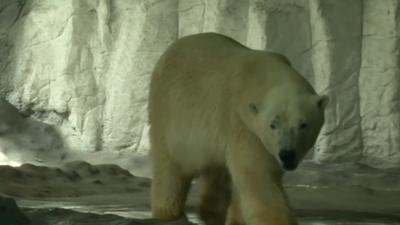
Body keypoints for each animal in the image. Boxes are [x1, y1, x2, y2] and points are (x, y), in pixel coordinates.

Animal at [148, 32, 328, 225]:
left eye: (303, 124)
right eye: (272, 125)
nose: (287, 154)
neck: (260, 76)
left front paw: (236, 218)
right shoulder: (242, 123)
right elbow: (258, 174)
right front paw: (278, 220)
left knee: (218, 172)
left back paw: (212, 212)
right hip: (168, 113)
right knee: (169, 166)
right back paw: (169, 212)